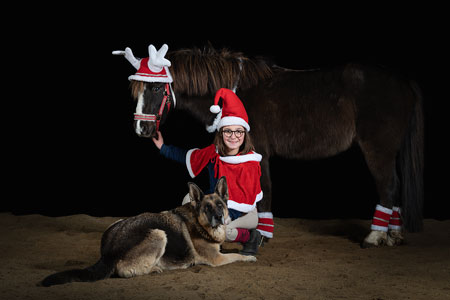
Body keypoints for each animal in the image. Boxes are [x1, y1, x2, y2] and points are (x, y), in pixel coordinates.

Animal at [41, 177, 256, 288]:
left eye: (220, 205)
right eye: (207, 208)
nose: (219, 217)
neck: (199, 221)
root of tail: (108, 253)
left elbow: (231, 249)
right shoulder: (216, 259)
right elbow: (236, 256)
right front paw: (249, 257)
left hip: (117, 223)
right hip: (159, 233)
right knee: (126, 271)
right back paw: (154, 268)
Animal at [115, 45, 422, 247]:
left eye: (156, 88)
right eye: (137, 90)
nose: (143, 129)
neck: (235, 91)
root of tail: (404, 82)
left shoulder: (257, 151)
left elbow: (264, 192)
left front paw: (262, 233)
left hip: (377, 149)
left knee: (387, 186)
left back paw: (375, 235)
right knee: (393, 185)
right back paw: (393, 233)